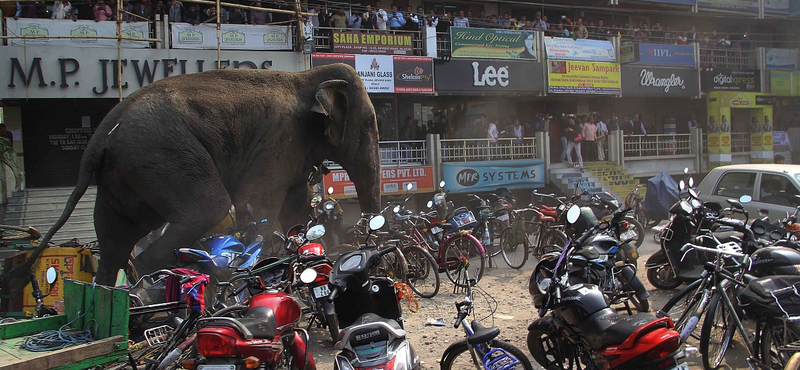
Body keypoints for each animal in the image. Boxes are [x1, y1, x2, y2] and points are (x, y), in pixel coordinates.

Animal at [6, 62, 382, 286]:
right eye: (368, 124)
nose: (364, 231)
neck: (305, 75)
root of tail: (101, 134)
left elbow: (296, 209)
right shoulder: (279, 139)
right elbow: (257, 203)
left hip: (124, 173)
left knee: (115, 237)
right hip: (162, 153)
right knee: (206, 209)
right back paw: (152, 283)